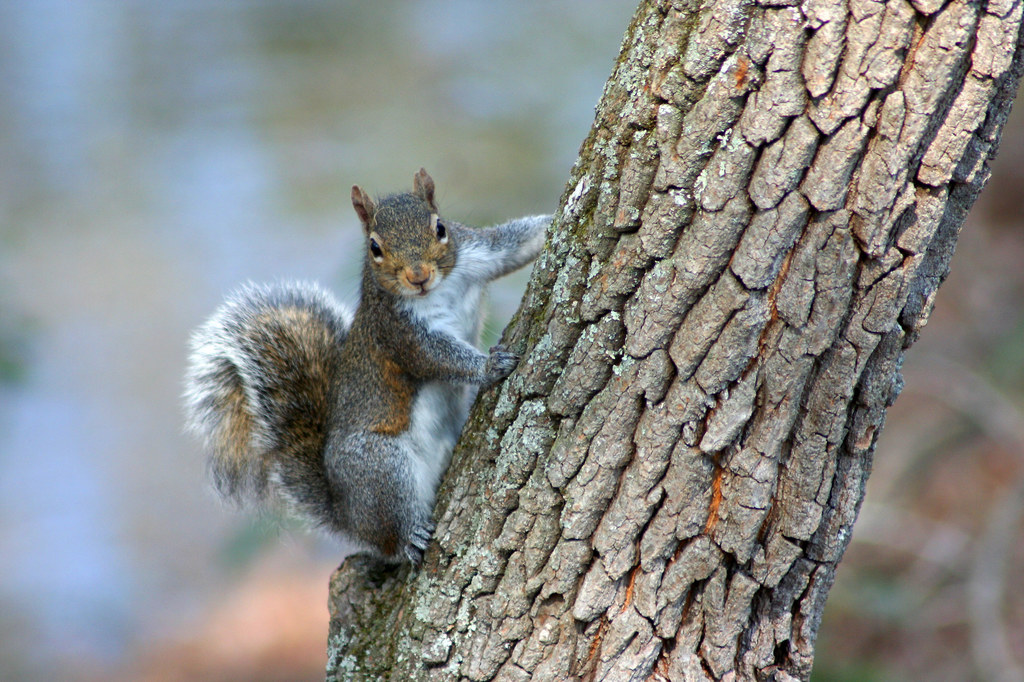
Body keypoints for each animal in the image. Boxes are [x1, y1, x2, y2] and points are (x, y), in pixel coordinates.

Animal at [184, 166, 552, 561]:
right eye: (375, 247)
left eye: (440, 228)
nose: (418, 276)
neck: (436, 291)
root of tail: (347, 514)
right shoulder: (396, 330)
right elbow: (436, 356)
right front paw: (489, 366)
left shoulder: (475, 251)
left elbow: (514, 243)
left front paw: (554, 218)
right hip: (380, 468)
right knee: (390, 533)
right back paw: (409, 537)